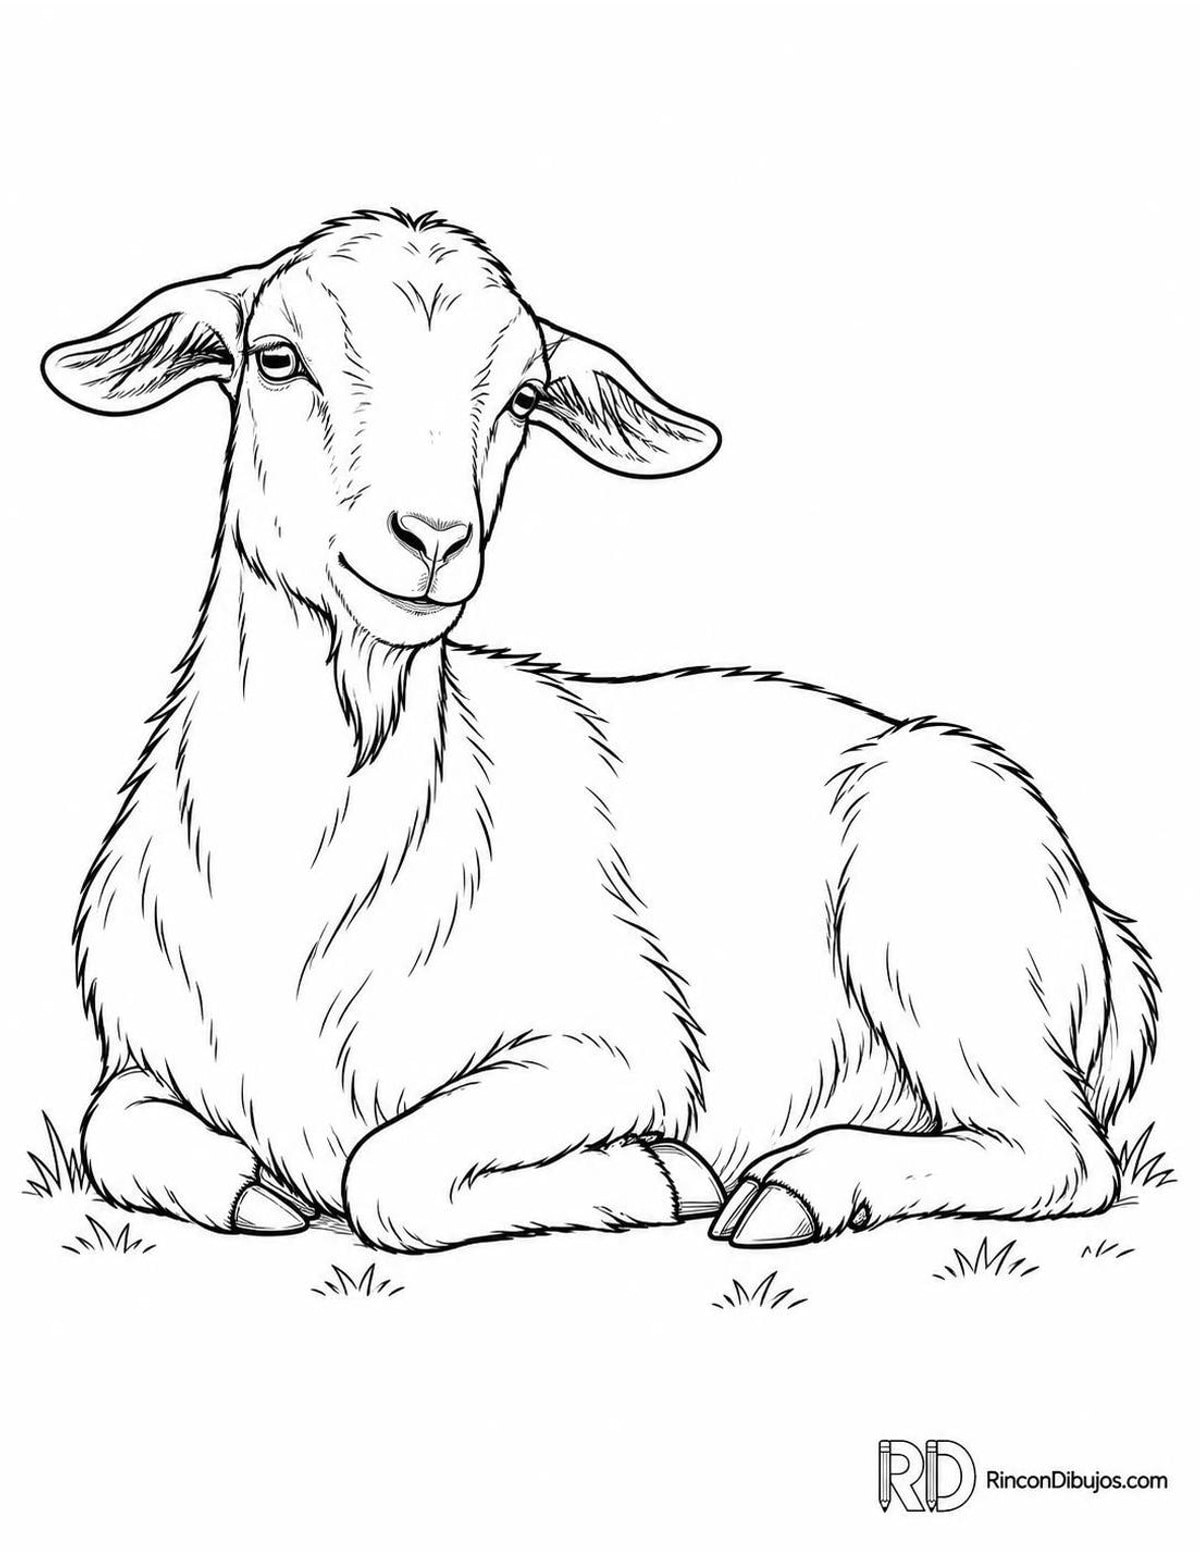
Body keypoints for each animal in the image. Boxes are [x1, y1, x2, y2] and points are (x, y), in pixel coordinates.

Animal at [42, 209, 1157, 1253]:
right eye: (277, 358)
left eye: (522, 399)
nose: (433, 538)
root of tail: (1107, 940)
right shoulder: (139, 1058)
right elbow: (109, 1131)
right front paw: (254, 1193)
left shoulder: (621, 1046)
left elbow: (384, 1175)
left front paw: (662, 1175)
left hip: (943, 938)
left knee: (1060, 1152)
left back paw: (789, 1191)